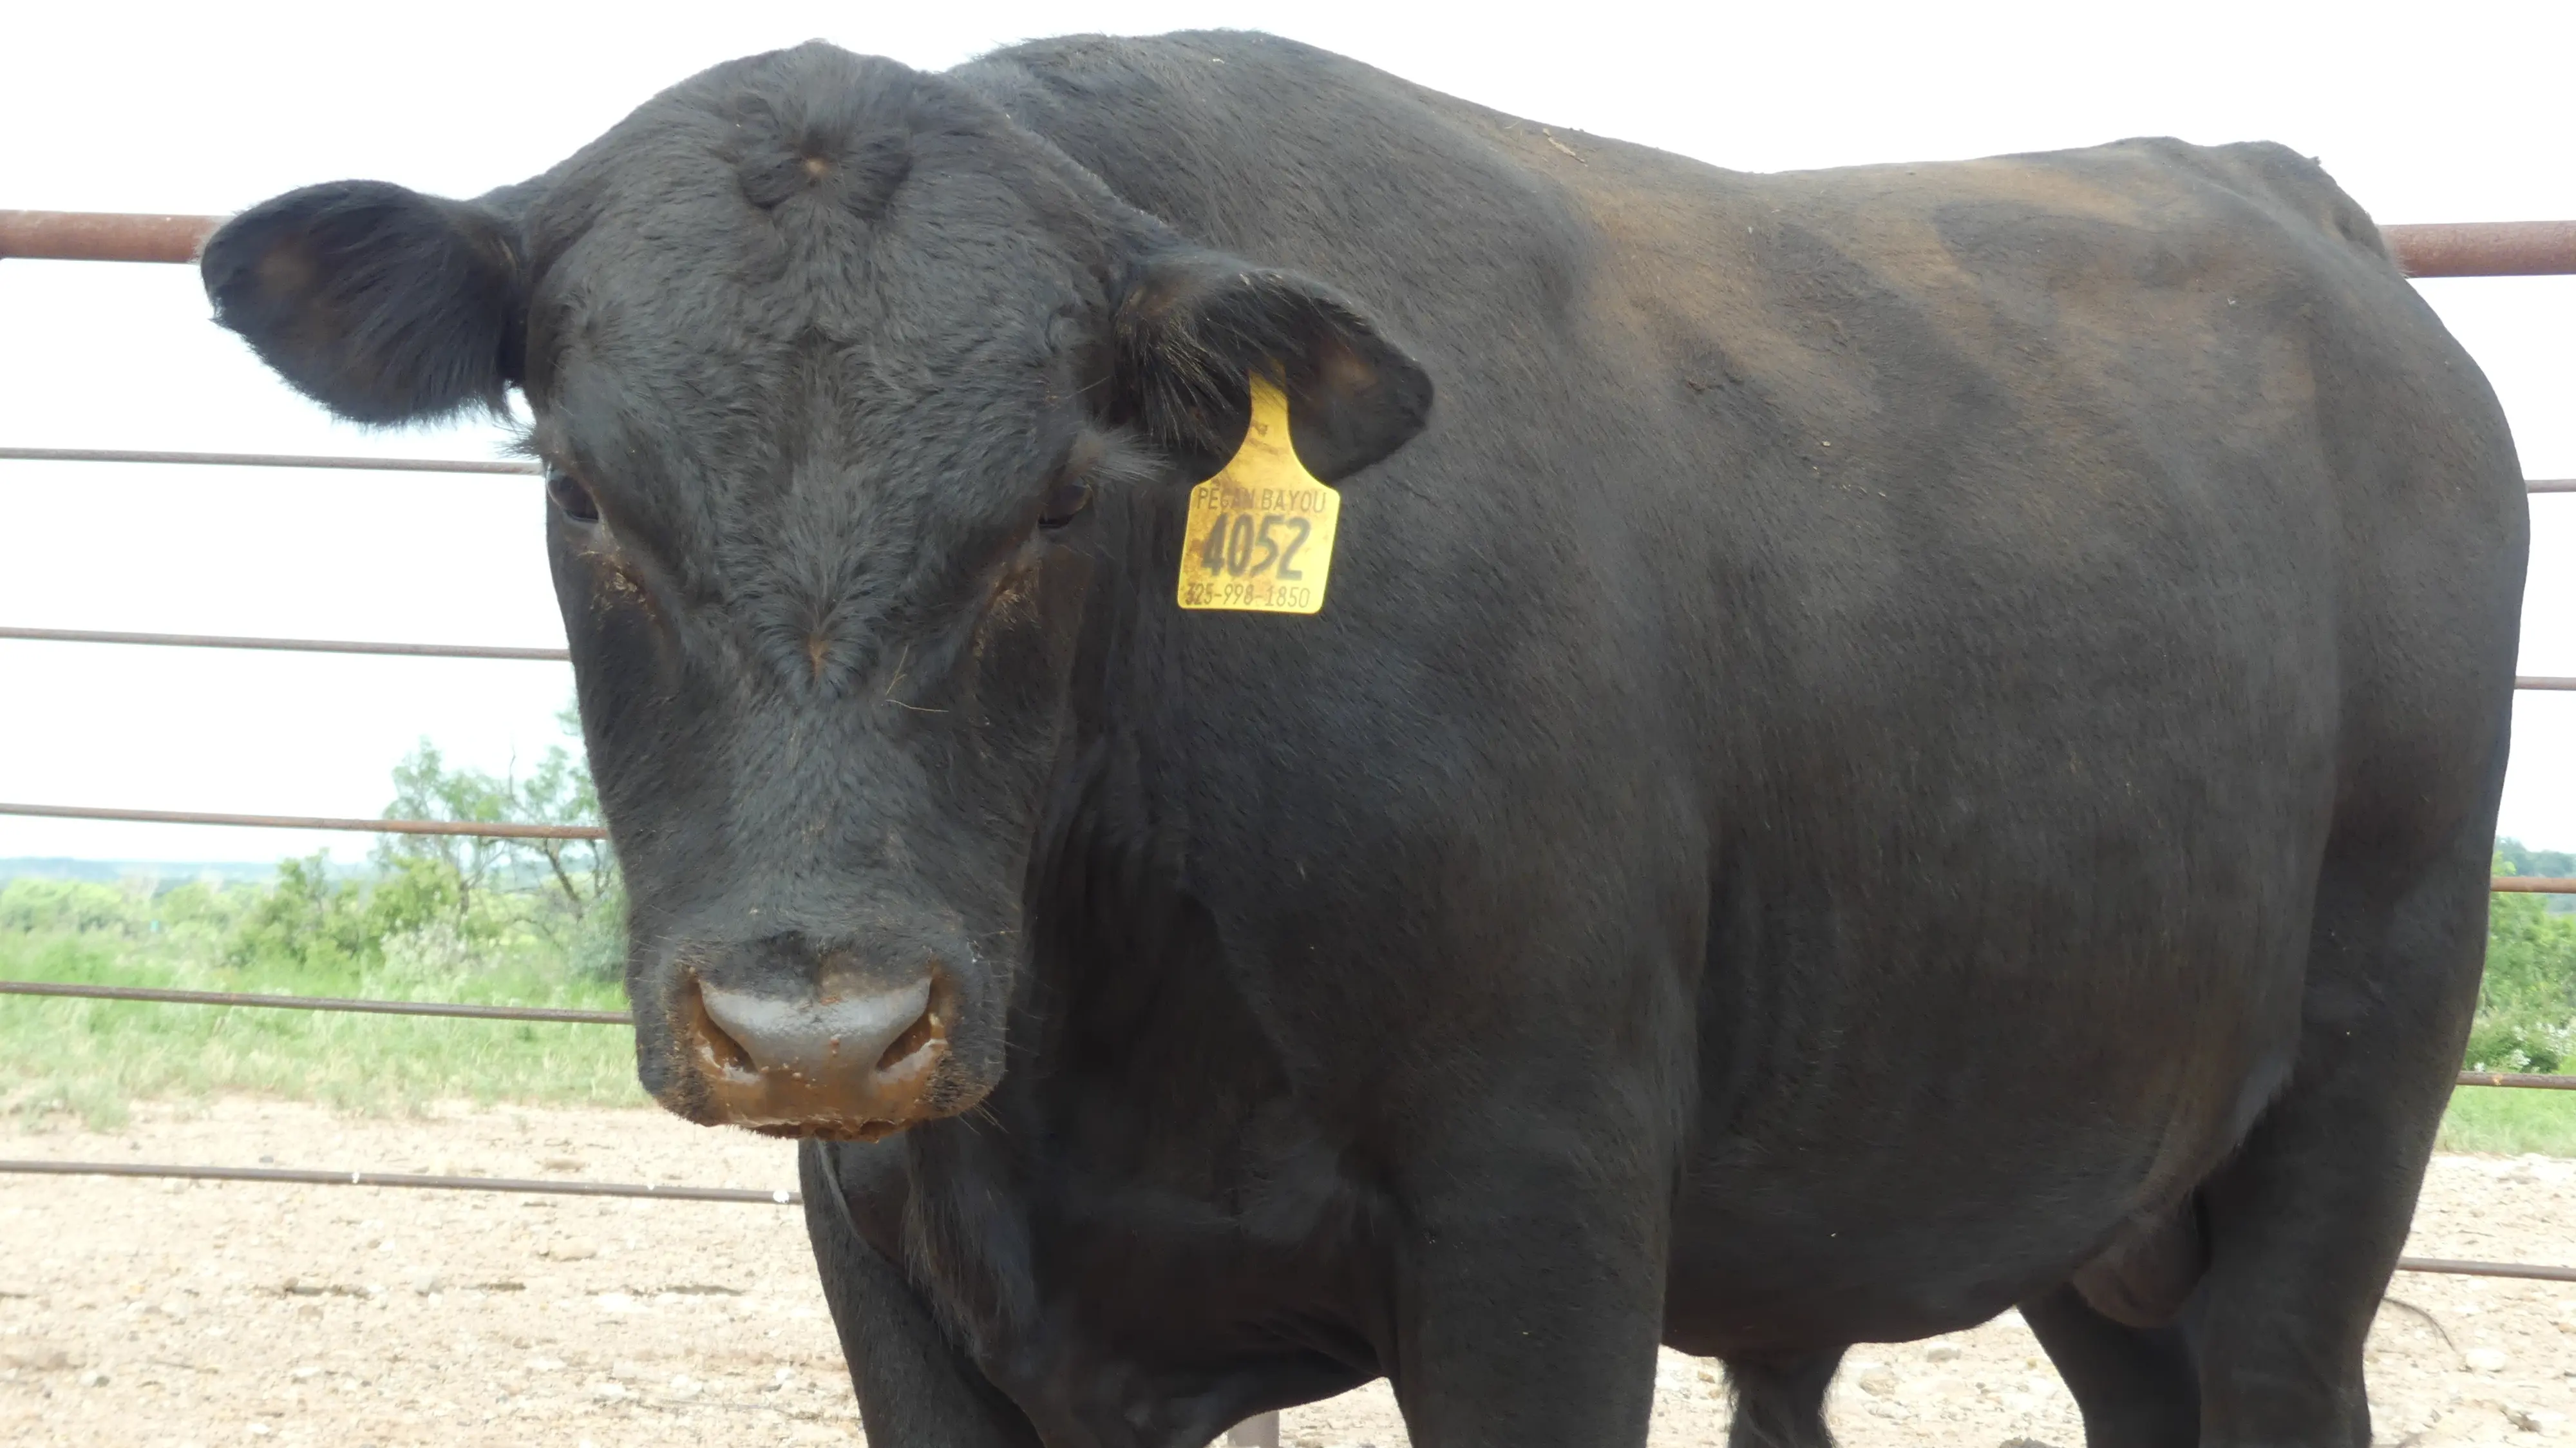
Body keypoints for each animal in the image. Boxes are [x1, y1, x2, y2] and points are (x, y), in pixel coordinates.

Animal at [200, 30, 2525, 1448]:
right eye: (584, 491)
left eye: (1060, 497)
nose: (822, 1023)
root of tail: (2286, 195)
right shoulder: (897, 1251)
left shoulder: (1541, 1209)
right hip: (2110, 1191)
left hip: (2355, 1092)